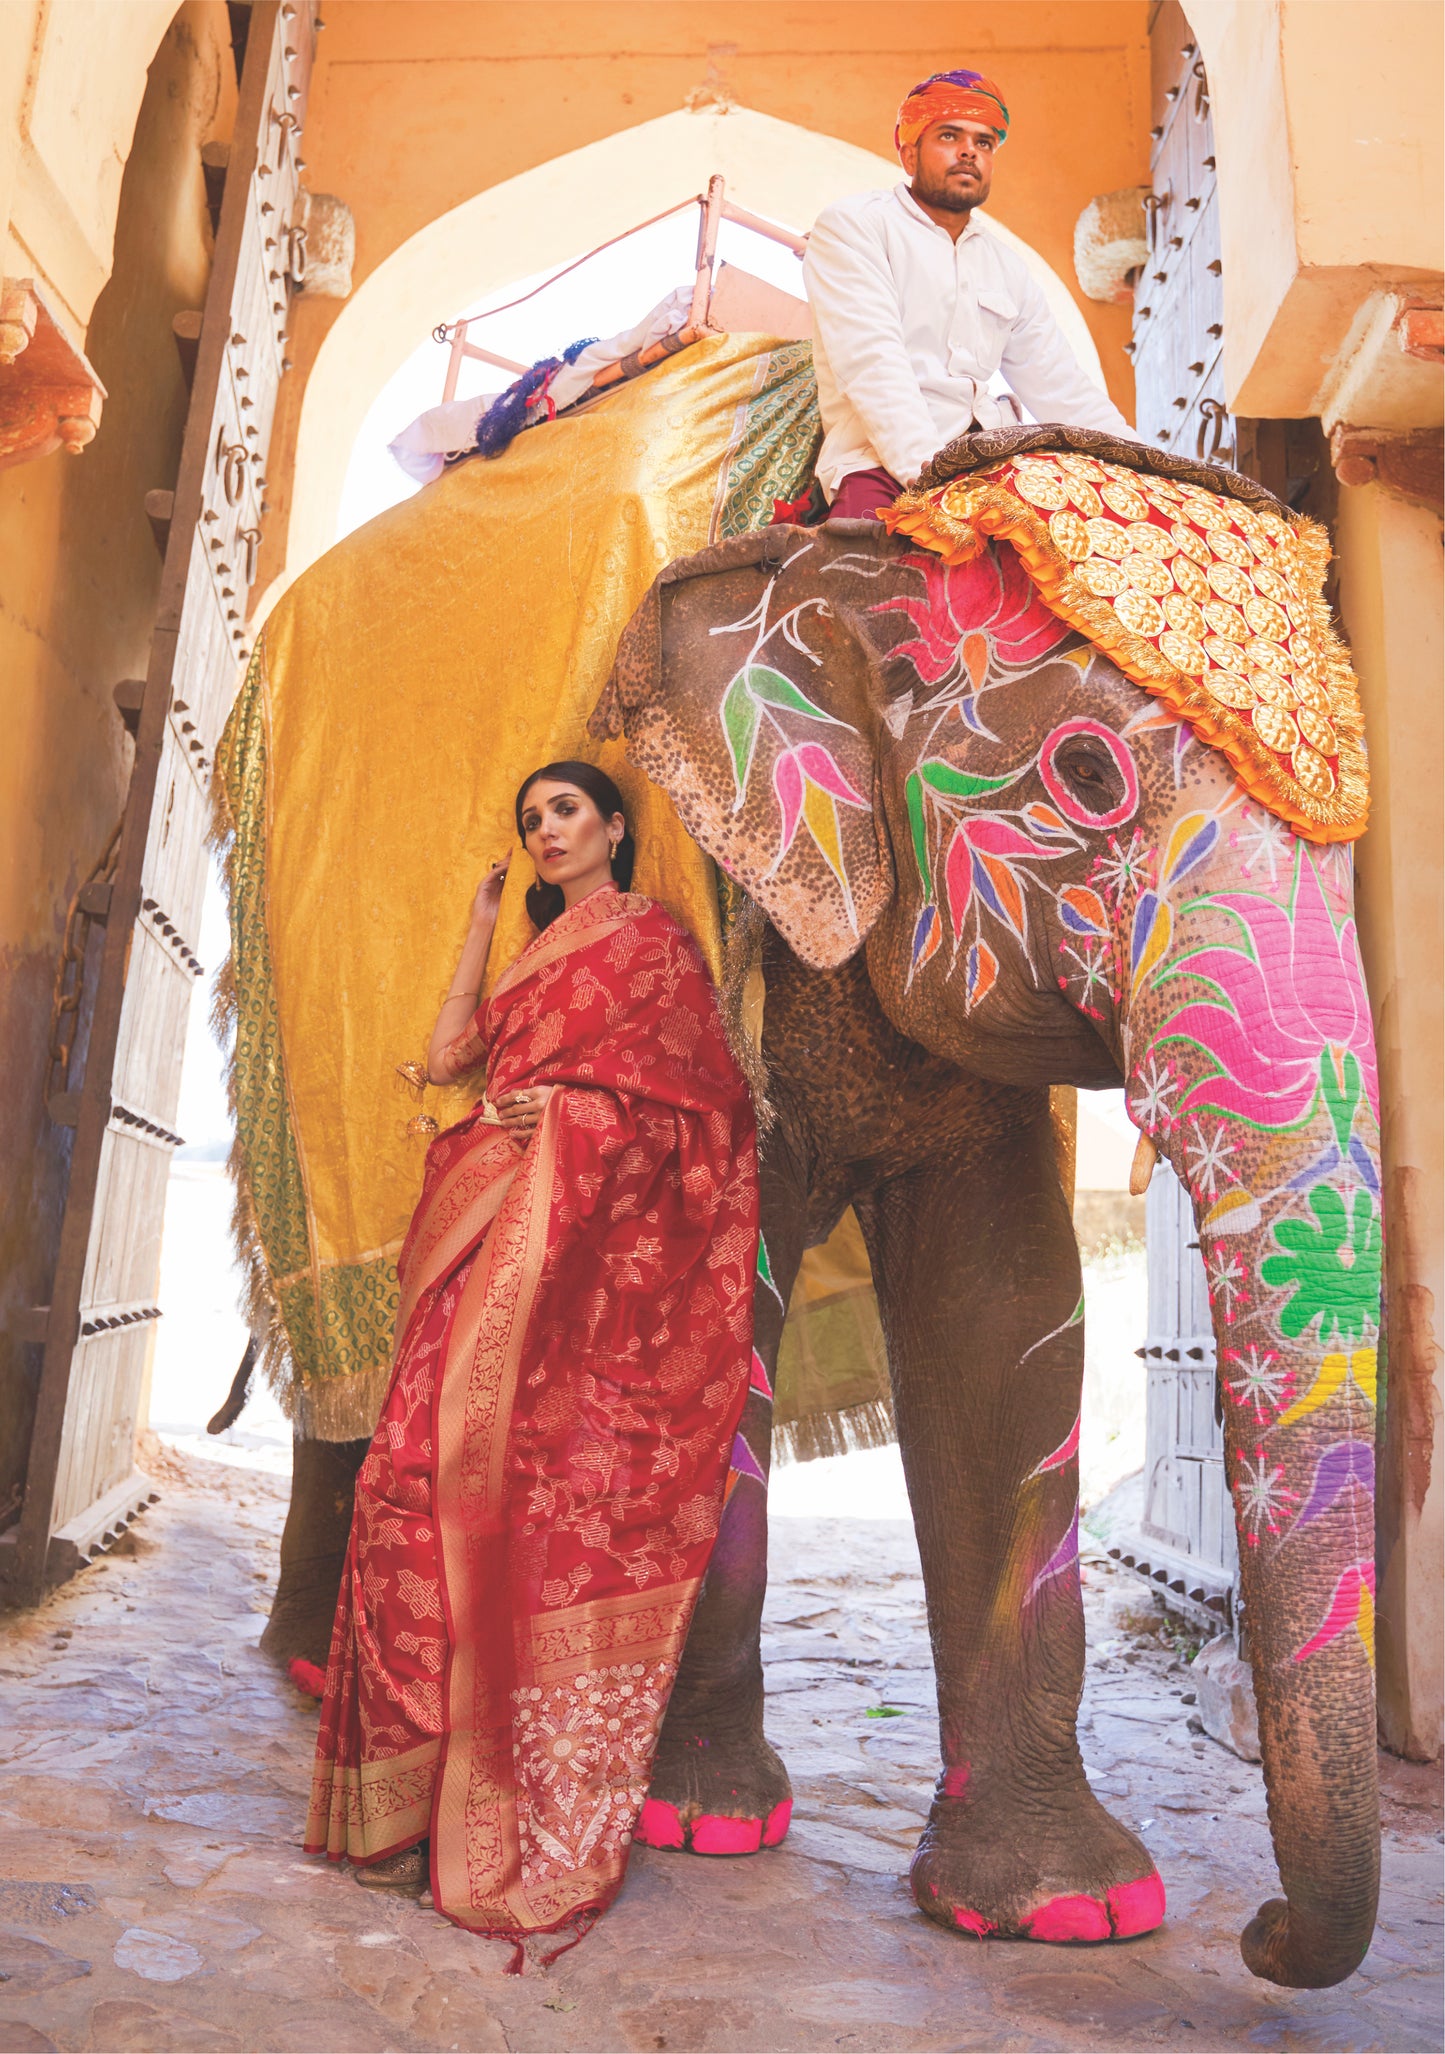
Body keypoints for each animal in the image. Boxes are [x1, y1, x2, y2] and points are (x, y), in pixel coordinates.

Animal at [591, 425, 1379, 1980]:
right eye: (1085, 776)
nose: (1259, 1930)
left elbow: (999, 1322)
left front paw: (1070, 1912)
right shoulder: (736, 944)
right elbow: (727, 1292)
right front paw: (701, 1821)